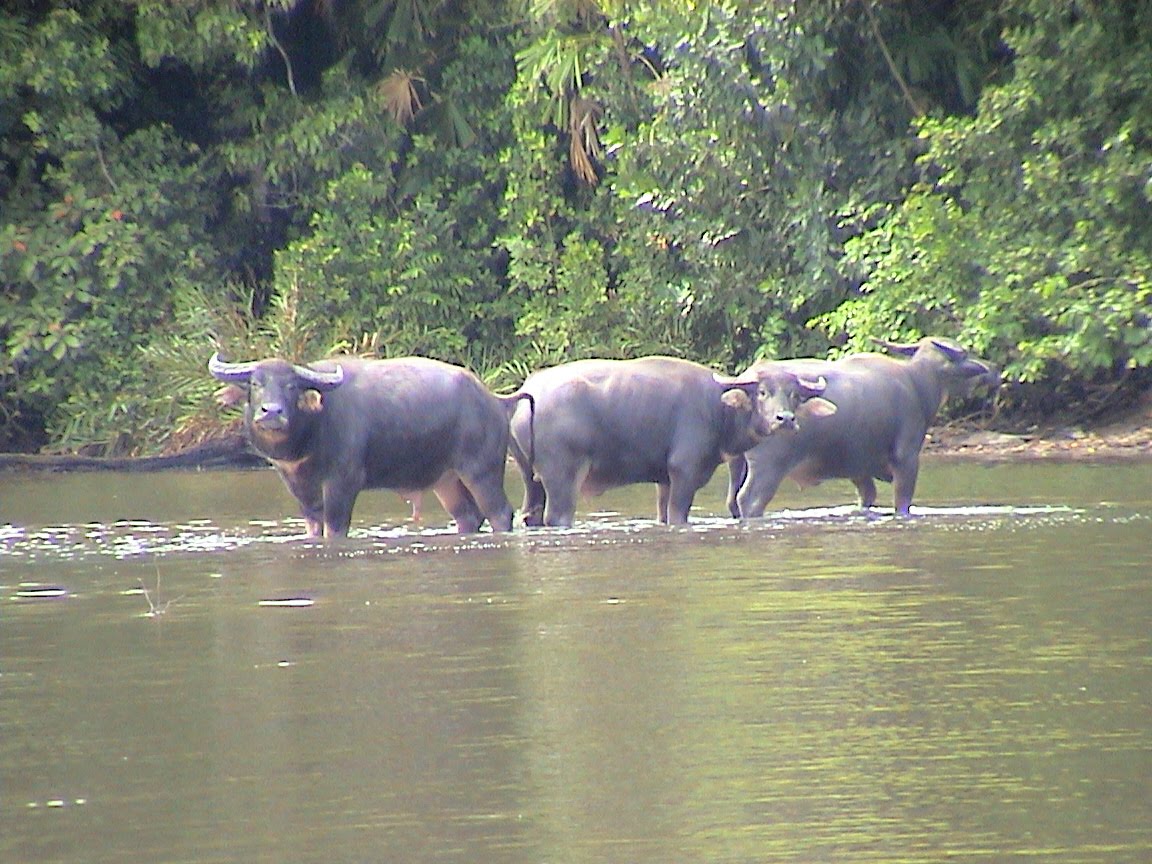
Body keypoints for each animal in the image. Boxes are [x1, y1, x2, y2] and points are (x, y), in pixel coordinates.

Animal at [210, 354, 527, 539]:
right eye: (255, 383)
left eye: (292, 386)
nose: (272, 412)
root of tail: (494, 401)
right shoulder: (299, 487)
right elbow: (314, 527)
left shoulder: (343, 481)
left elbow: (335, 528)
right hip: (446, 480)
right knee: (468, 516)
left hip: (481, 470)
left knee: (499, 513)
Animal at [509, 357, 834, 527]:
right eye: (762, 392)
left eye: (794, 395)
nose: (785, 419)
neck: (718, 409)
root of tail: (530, 392)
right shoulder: (684, 472)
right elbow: (678, 515)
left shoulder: (664, 480)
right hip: (562, 475)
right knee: (557, 515)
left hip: (530, 477)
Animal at [728, 338, 999, 518]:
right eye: (967, 354)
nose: (995, 370)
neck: (918, 383)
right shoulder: (907, 458)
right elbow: (902, 501)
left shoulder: (858, 469)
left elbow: (868, 496)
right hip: (768, 466)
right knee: (750, 500)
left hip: (736, 463)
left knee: (733, 502)